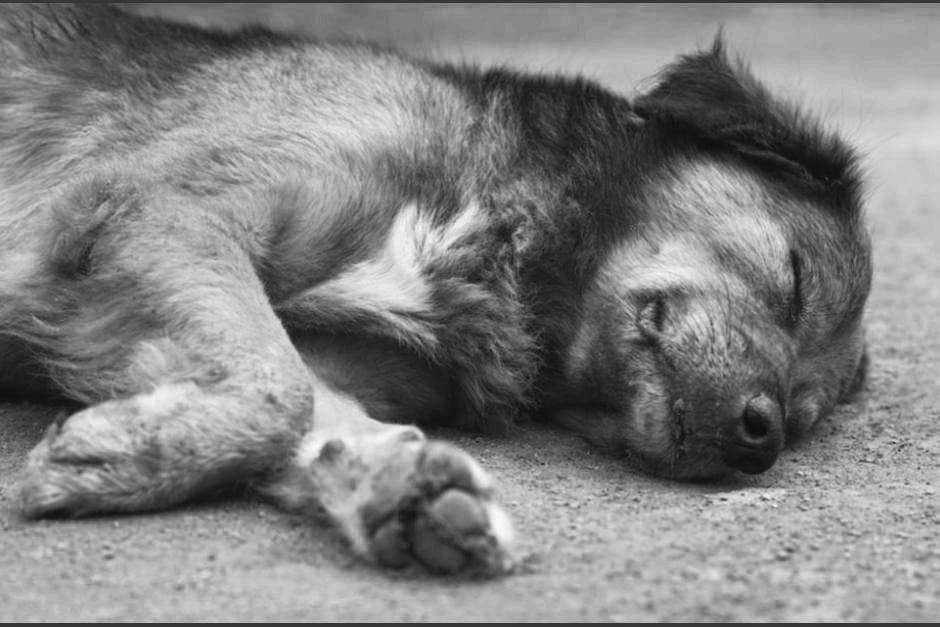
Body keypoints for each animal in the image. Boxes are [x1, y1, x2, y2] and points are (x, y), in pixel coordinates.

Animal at [0, 4, 872, 576]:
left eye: (802, 416)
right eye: (794, 279)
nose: (762, 435)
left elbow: (312, 407)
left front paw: (400, 485)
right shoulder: (154, 206)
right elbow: (279, 389)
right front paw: (128, 457)